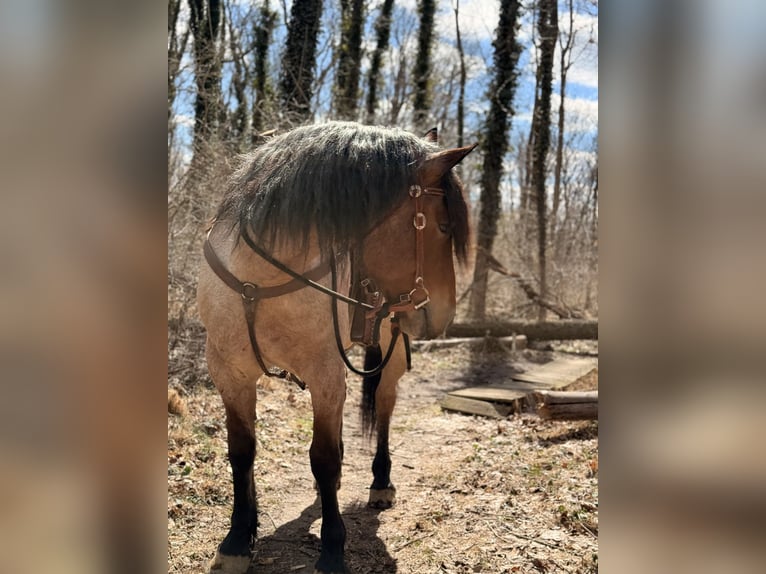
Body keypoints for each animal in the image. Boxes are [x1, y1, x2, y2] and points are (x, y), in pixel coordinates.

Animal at [196, 121, 475, 573]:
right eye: (443, 227)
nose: (442, 315)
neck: (258, 281)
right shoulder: (230, 375)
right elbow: (242, 451)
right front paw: (238, 538)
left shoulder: (324, 374)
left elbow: (323, 459)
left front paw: (331, 548)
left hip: (388, 351)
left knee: (384, 407)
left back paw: (381, 482)